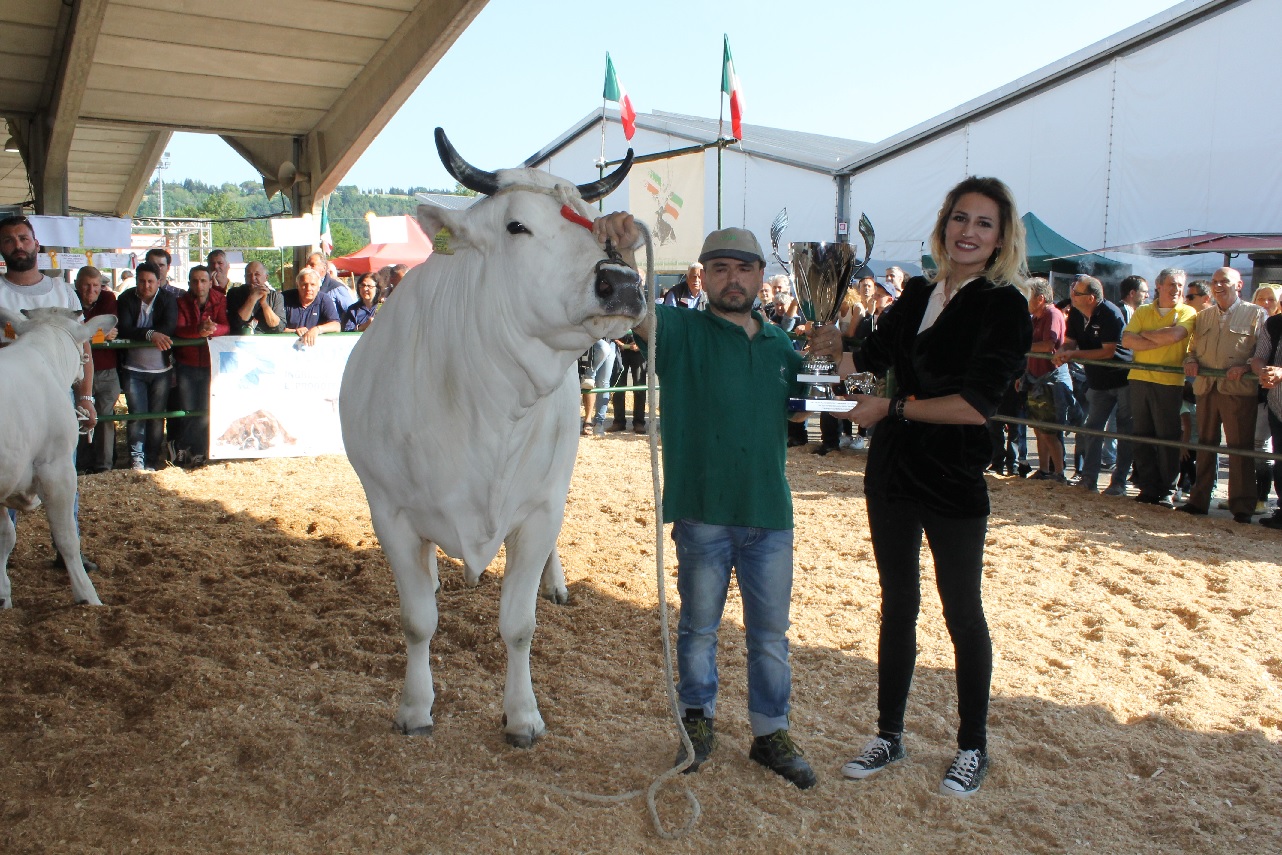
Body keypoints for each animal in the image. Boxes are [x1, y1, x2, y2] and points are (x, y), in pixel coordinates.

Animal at [341, 128, 646, 748]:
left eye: (596, 226)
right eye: (516, 225)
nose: (623, 282)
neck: (489, 411)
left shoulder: (540, 509)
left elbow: (519, 625)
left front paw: (522, 714)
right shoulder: (389, 512)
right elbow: (416, 621)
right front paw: (415, 706)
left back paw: (556, 584)